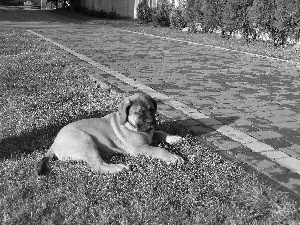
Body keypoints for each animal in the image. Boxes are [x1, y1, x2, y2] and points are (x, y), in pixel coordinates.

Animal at [36, 92, 184, 174]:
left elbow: (161, 133)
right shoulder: (140, 148)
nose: (151, 122)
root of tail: (54, 143)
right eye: (139, 112)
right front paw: (173, 157)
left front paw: (175, 138)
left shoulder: (151, 135)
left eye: (152, 110)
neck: (130, 124)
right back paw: (119, 168)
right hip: (86, 141)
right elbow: (159, 150)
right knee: (98, 166)